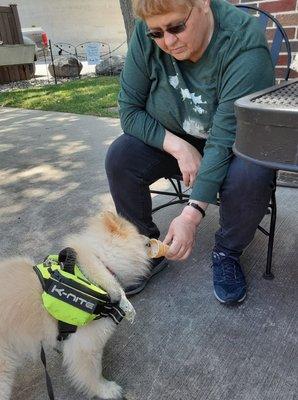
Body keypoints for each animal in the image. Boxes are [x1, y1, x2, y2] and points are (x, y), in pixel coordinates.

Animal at [0, 211, 150, 398]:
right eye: (139, 233)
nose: (150, 240)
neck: (99, 264)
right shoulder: (84, 345)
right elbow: (92, 372)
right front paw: (105, 389)